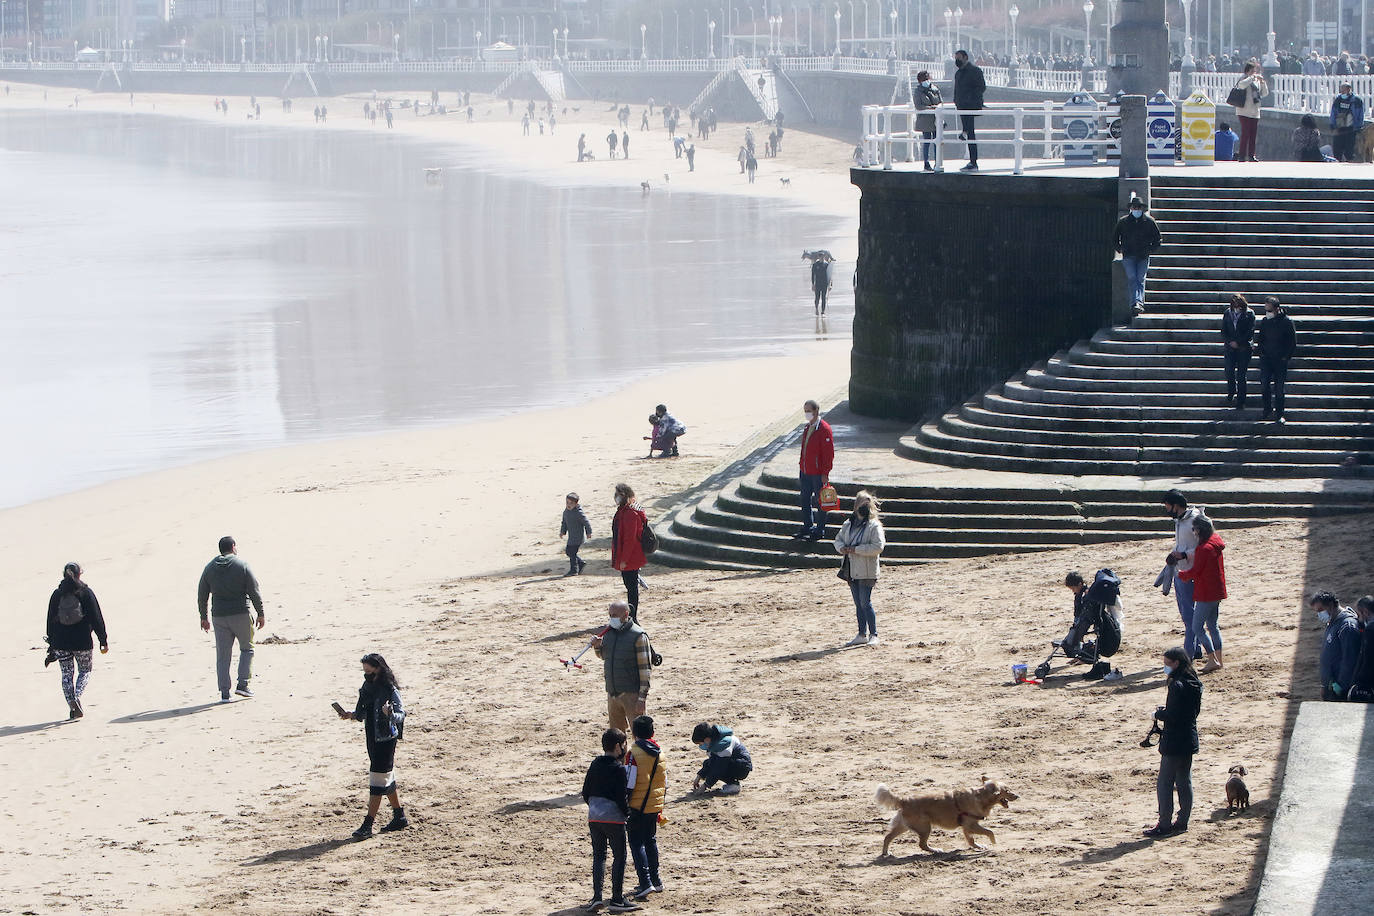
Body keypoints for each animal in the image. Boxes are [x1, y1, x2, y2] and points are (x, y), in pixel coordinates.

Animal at [873, 780, 1016, 856]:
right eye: (1007, 790)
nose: (1017, 796)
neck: (981, 796)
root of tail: (904, 800)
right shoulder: (971, 825)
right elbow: (990, 832)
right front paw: (993, 843)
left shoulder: (966, 827)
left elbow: (971, 840)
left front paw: (979, 847)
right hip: (925, 828)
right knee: (922, 844)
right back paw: (936, 850)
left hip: (903, 826)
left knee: (887, 837)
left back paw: (886, 853)